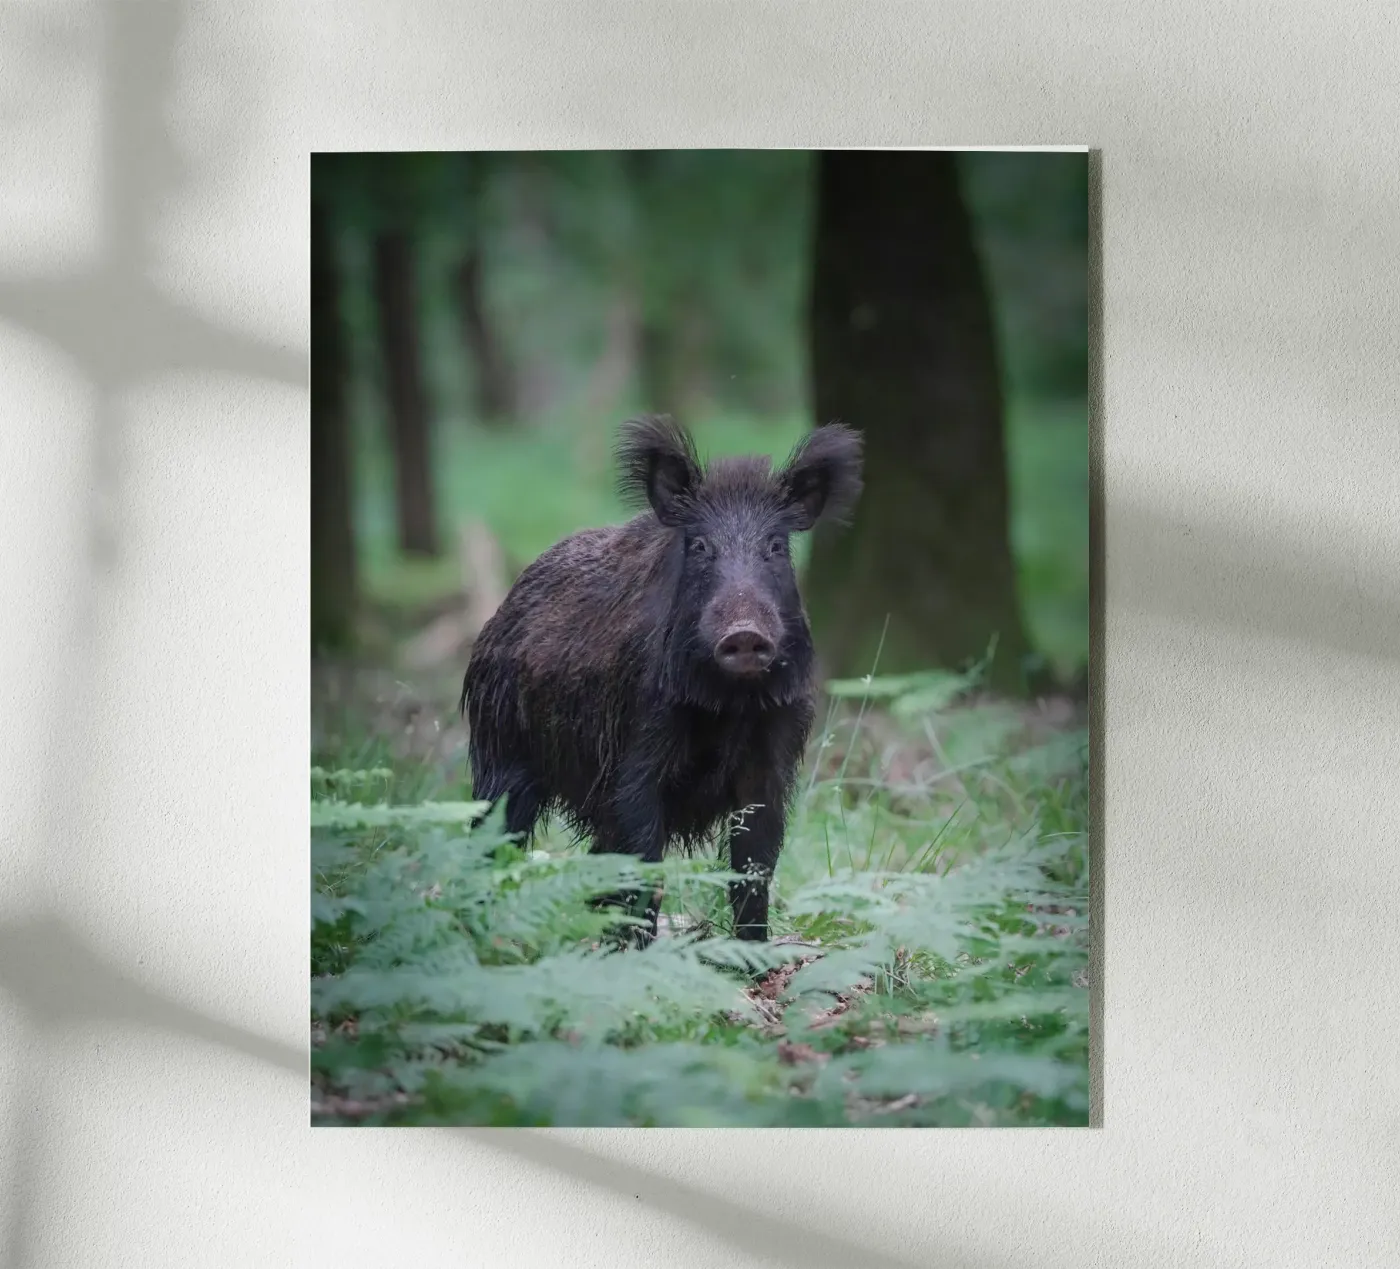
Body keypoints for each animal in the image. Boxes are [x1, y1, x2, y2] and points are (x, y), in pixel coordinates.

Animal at [460, 415, 863, 946]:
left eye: (776, 547)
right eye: (700, 546)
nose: (745, 632)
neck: (727, 705)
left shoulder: (775, 749)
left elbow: (754, 864)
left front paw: (756, 953)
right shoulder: (637, 748)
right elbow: (644, 860)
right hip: (499, 750)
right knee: (492, 836)